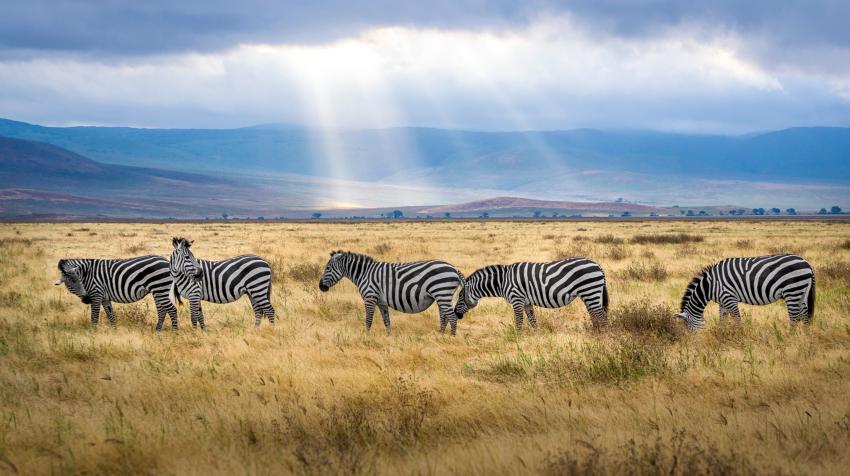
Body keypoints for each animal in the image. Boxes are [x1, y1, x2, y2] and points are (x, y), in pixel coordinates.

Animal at [318, 251, 464, 336]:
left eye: (328, 268)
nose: (320, 287)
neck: (364, 274)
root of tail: (454, 268)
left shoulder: (370, 298)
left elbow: (368, 320)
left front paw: (366, 337)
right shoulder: (381, 302)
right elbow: (387, 321)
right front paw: (389, 338)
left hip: (442, 293)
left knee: (452, 317)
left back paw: (450, 339)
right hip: (442, 296)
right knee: (444, 317)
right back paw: (440, 336)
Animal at [454, 258, 608, 330]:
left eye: (460, 297)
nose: (456, 314)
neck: (503, 281)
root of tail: (597, 265)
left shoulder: (517, 299)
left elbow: (519, 320)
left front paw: (517, 338)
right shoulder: (527, 302)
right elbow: (532, 320)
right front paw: (536, 336)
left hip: (590, 290)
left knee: (600, 316)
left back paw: (602, 336)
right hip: (590, 294)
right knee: (595, 314)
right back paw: (595, 332)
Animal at [676, 253, 816, 330]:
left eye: (688, 327)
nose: (693, 343)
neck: (710, 285)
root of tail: (807, 263)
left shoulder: (729, 298)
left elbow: (737, 320)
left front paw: (740, 336)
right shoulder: (722, 301)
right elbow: (723, 320)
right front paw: (721, 334)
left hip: (792, 291)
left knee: (794, 318)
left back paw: (789, 338)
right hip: (802, 291)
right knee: (804, 315)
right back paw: (806, 337)